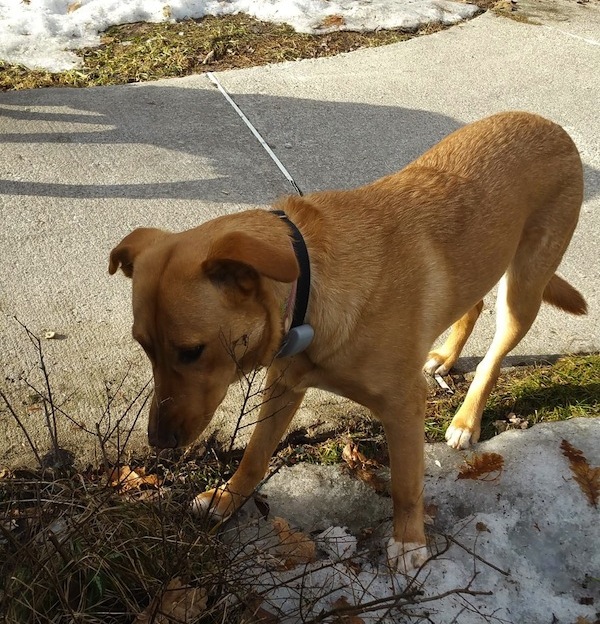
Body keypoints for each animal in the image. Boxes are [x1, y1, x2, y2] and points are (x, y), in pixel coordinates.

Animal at [109, 113, 584, 576]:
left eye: (192, 352)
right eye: (145, 347)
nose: (159, 441)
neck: (309, 286)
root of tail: (553, 128)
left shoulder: (404, 407)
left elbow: (406, 485)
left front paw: (409, 540)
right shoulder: (284, 385)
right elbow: (256, 455)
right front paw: (226, 498)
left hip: (522, 292)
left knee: (493, 356)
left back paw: (467, 419)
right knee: (473, 304)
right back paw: (446, 356)